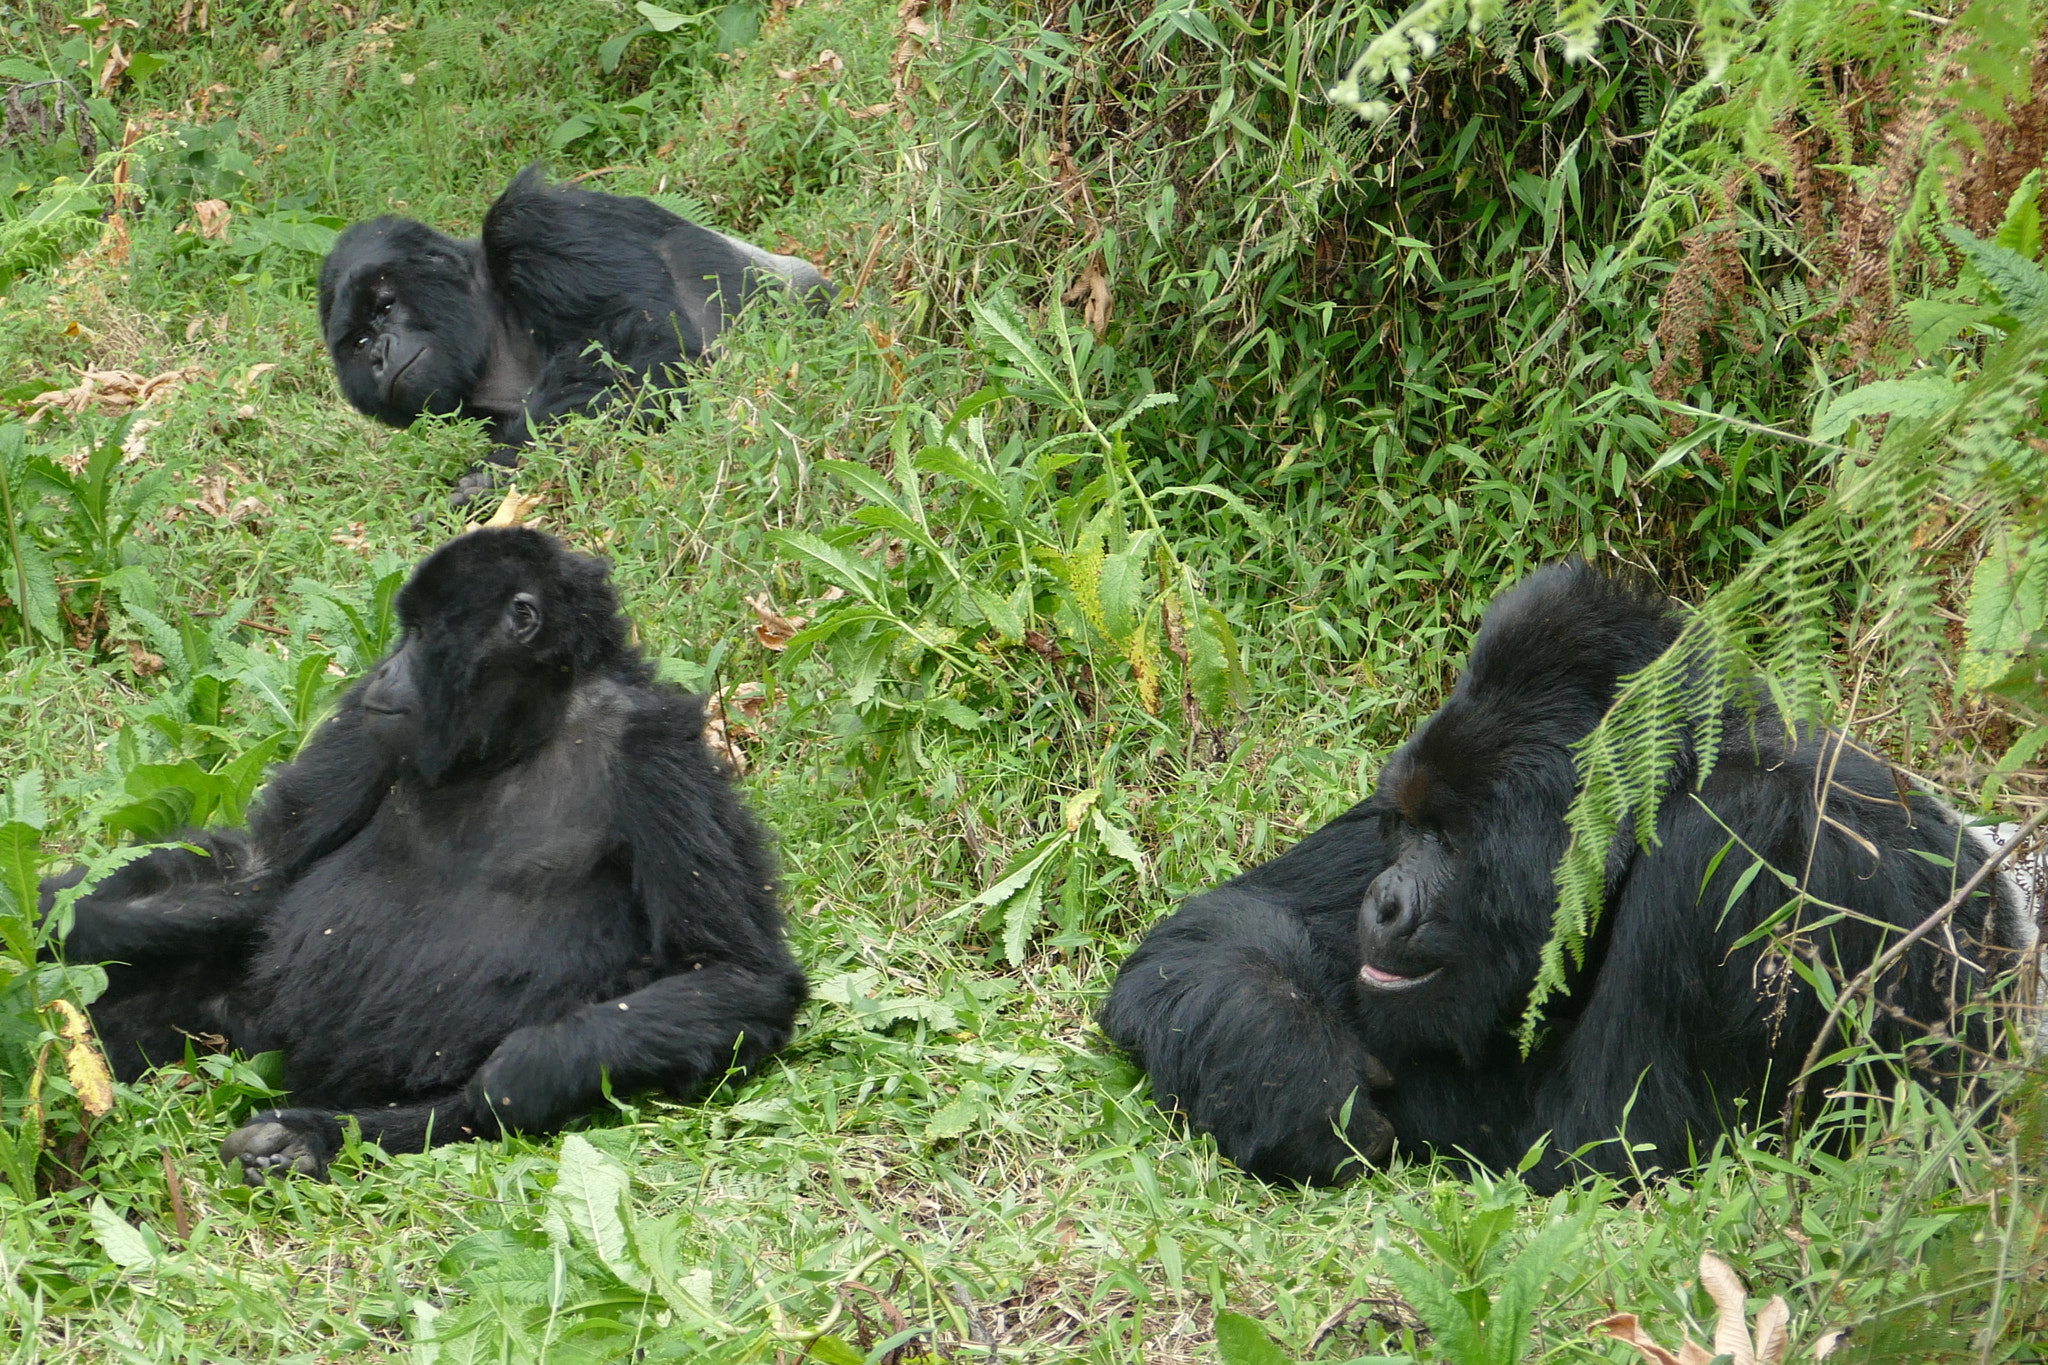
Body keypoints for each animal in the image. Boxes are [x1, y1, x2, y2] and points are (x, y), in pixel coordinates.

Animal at [44, 523, 802, 1186]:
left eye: (418, 633)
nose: (382, 669)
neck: (528, 727)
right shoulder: (366, 722)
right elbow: (259, 866)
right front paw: (54, 915)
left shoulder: (656, 747)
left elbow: (736, 972)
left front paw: (533, 1064)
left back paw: (309, 1139)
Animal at [319, 161, 831, 501]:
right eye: (359, 342)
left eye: (386, 306)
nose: (381, 353)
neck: (492, 310)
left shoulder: (540, 222)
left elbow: (641, 351)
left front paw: (493, 476)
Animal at [1105, 560, 2031, 1186]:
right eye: (1410, 825)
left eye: (1453, 844)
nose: (1385, 900)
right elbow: (1216, 931)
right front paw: (1301, 1078)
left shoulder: (1729, 846)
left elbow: (1602, 1145)